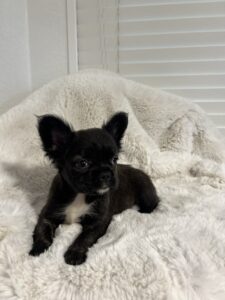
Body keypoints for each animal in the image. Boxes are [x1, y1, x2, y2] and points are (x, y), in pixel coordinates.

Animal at [29, 112, 160, 264]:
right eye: (82, 163)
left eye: (114, 159)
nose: (106, 174)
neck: (80, 195)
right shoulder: (49, 213)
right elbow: (42, 229)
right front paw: (39, 247)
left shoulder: (97, 222)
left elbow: (85, 238)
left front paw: (74, 253)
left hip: (146, 192)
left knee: (153, 203)